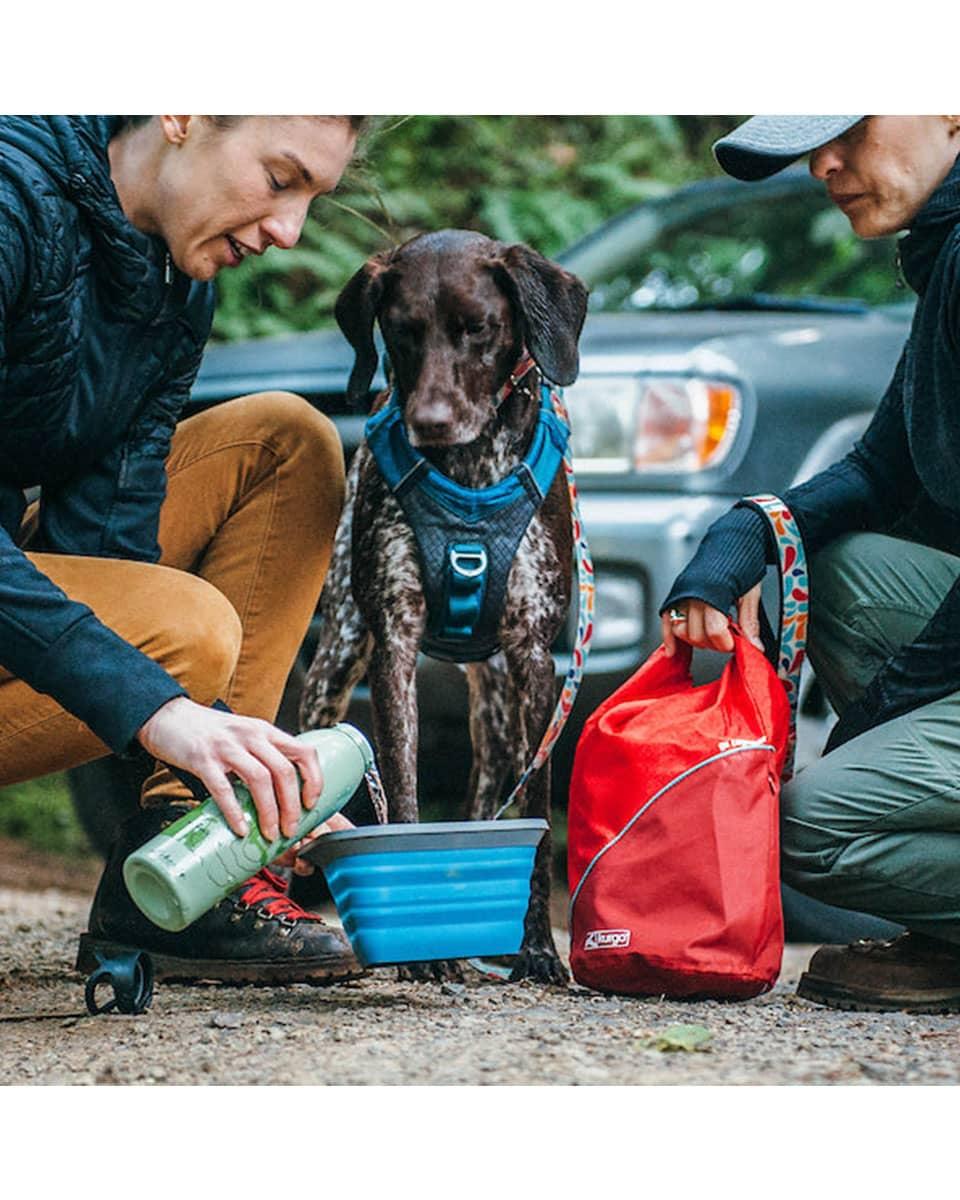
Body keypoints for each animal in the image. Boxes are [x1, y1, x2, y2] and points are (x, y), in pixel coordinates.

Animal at [300, 226, 588, 984]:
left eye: (478, 328)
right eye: (401, 332)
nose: (427, 422)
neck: (470, 476)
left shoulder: (535, 660)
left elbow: (538, 819)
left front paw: (538, 950)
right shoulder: (394, 648)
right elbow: (402, 791)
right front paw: (420, 952)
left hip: (497, 707)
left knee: (490, 794)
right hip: (336, 660)